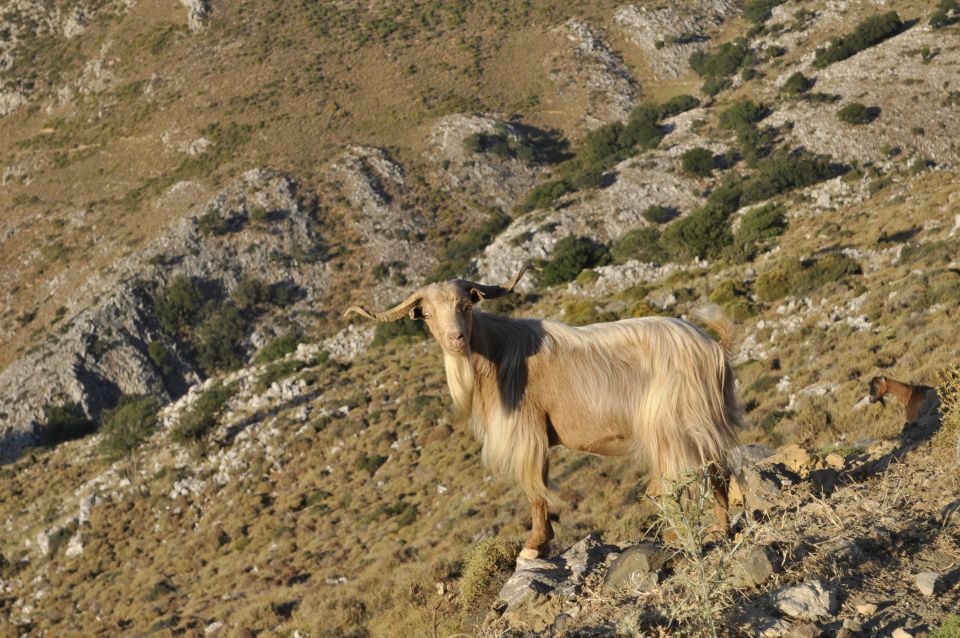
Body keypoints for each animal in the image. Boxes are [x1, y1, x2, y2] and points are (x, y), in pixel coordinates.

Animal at [344, 264, 744, 560]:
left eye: (466, 306)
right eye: (427, 313)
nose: (455, 339)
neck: (494, 355)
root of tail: (713, 348)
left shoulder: (528, 432)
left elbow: (535, 490)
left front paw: (534, 547)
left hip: (674, 425)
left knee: (692, 476)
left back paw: (681, 537)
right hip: (707, 421)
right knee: (719, 471)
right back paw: (720, 529)